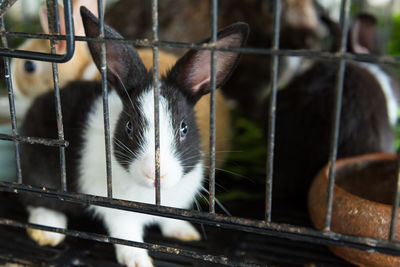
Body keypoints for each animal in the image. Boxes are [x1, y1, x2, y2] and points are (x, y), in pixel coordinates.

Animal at [20, 6, 250, 267]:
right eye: (129, 126)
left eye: (183, 128)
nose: (155, 174)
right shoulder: (117, 212)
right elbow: (127, 236)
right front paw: (138, 261)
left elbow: (169, 221)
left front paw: (185, 232)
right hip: (39, 172)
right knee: (38, 202)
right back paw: (48, 232)